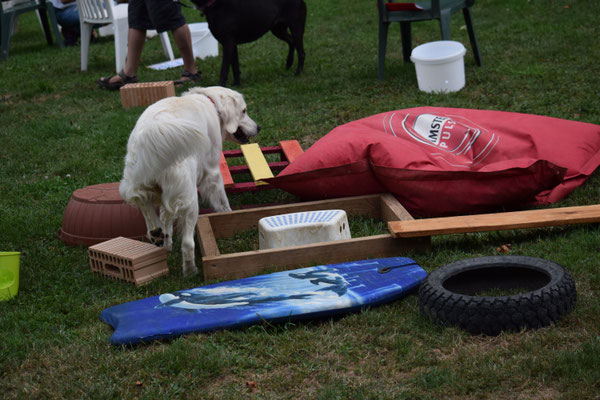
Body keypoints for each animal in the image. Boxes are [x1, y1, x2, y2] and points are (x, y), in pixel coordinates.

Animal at [119, 86, 260, 276]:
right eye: (244, 111)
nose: (258, 127)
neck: (210, 101)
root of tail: (152, 132)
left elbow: (165, 218)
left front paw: (166, 242)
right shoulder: (213, 173)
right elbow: (223, 203)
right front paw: (228, 215)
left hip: (139, 182)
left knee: (144, 204)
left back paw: (157, 233)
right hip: (190, 199)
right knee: (187, 243)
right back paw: (190, 271)